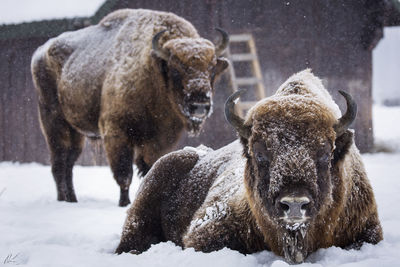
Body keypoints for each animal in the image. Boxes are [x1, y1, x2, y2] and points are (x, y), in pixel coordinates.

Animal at [30, 7, 230, 205]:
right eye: (175, 68)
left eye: (212, 68)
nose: (200, 105)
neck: (151, 69)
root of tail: (40, 52)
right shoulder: (117, 133)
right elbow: (124, 174)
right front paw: (124, 203)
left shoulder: (159, 139)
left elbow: (149, 168)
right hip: (54, 124)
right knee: (59, 162)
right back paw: (64, 199)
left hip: (76, 133)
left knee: (68, 163)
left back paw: (72, 199)